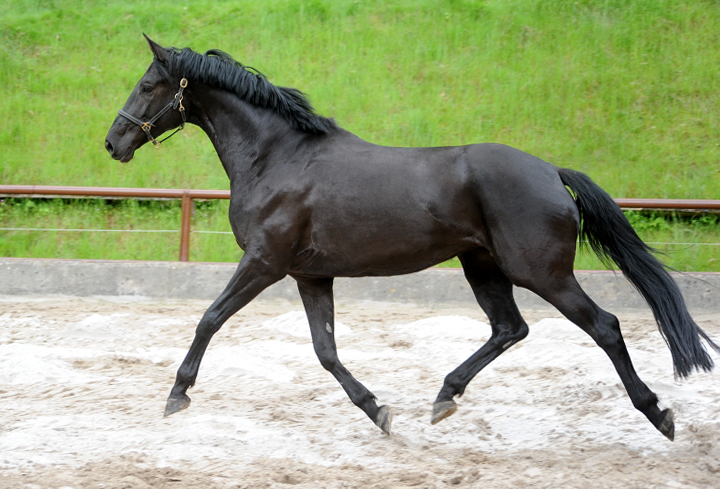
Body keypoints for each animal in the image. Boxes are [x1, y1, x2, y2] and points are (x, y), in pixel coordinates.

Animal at [104, 36, 716, 440]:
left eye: (147, 84)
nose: (113, 142)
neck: (278, 157)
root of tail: (550, 171)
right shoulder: (310, 274)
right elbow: (326, 351)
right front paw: (378, 411)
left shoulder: (264, 262)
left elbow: (209, 318)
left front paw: (177, 395)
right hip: (483, 267)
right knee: (509, 328)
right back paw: (444, 397)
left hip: (541, 272)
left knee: (604, 327)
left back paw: (660, 415)